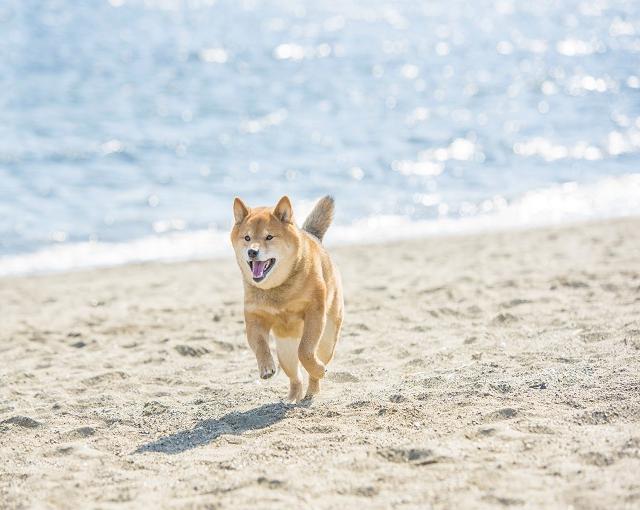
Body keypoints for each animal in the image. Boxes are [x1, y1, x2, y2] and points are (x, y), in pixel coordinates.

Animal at [231, 195, 344, 402]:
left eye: (269, 237)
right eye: (247, 238)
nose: (252, 251)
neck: (277, 288)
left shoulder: (314, 313)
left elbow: (305, 351)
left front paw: (318, 370)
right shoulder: (255, 319)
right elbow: (260, 345)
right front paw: (266, 367)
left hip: (327, 339)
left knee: (313, 366)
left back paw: (313, 388)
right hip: (285, 351)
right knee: (295, 377)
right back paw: (292, 396)